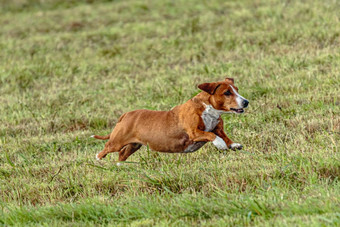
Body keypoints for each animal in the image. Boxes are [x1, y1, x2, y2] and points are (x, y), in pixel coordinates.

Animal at [91, 78, 248, 163]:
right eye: (227, 93)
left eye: (237, 90)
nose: (246, 102)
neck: (208, 109)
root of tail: (126, 115)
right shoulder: (194, 132)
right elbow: (211, 135)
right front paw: (220, 144)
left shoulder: (217, 127)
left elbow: (224, 135)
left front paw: (233, 144)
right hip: (117, 142)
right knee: (106, 149)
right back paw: (98, 159)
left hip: (134, 145)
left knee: (122, 155)